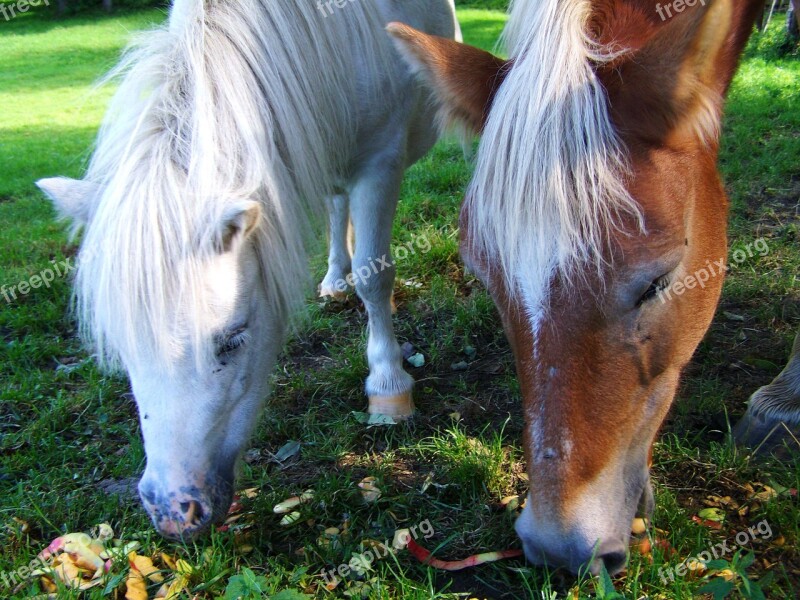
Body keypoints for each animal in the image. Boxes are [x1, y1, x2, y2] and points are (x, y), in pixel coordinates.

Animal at [37, 0, 460, 536]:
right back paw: (333, 278)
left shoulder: (380, 161)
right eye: (126, 348)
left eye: (232, 340)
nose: (174, 513)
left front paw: (388, 386)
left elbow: (374, 274)